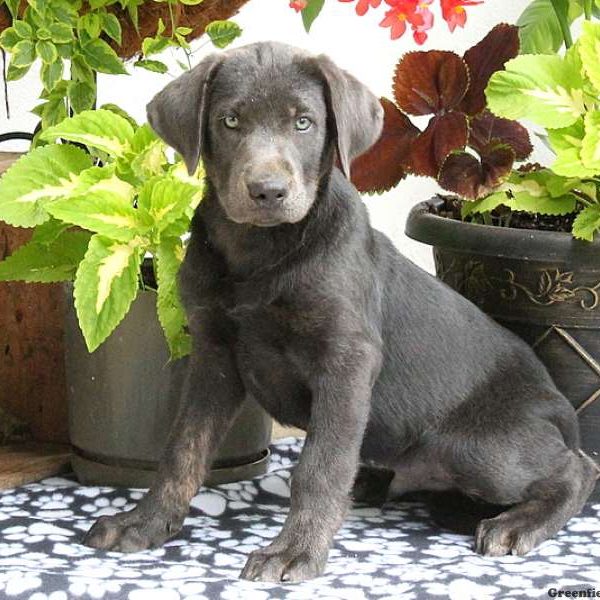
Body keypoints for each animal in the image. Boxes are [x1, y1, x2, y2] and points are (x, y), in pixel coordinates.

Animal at [82, 41, 596, 580]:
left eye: (304, 122)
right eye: (230, 121)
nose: (268, 191)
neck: (260, 251)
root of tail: (559, 406)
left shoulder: (346, 359)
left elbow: (320, 464)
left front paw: (295, 550)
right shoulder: (215, 355)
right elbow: (183, 448)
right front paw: (144, 523)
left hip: (476, 445)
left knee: (579, 469)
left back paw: (517, 524)